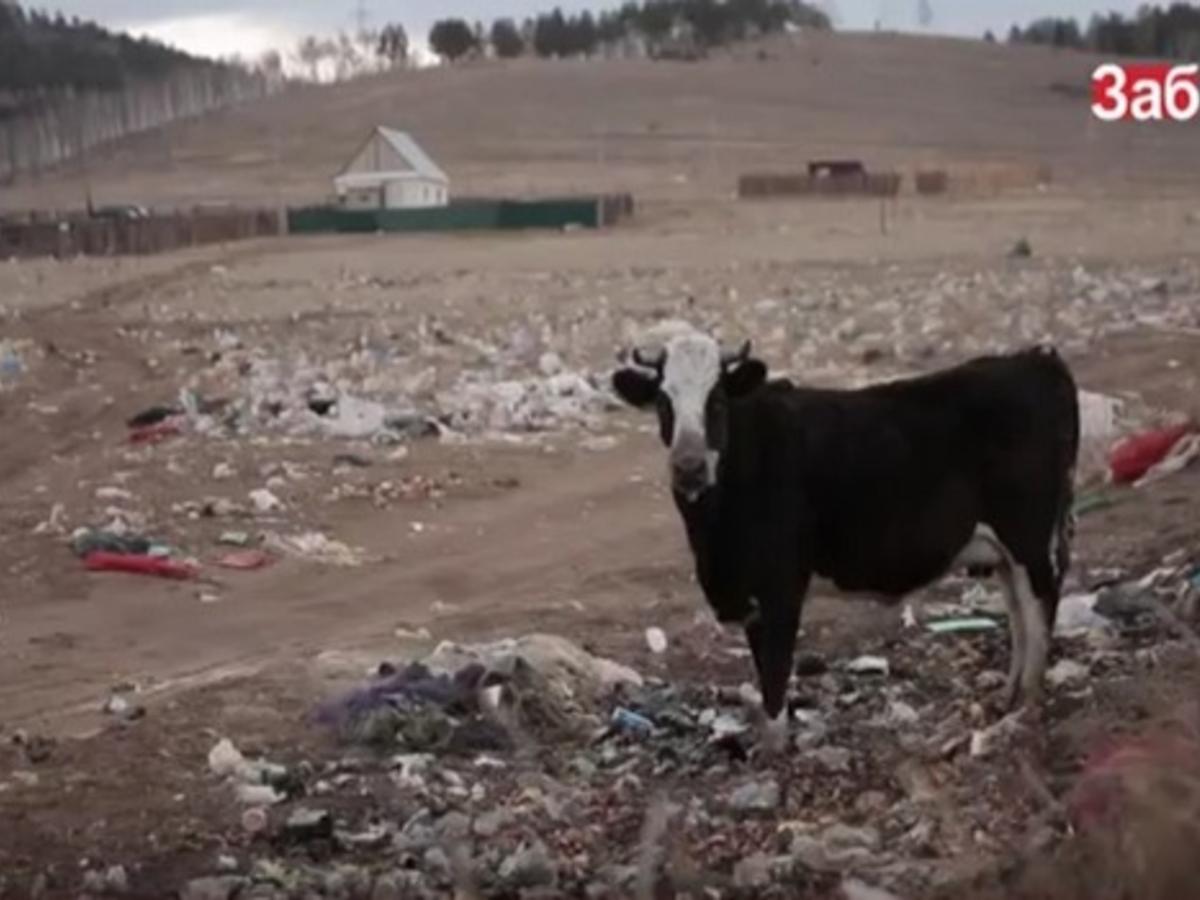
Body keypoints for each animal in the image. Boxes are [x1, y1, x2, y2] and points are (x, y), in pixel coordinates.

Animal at [614, 331, 1084, 753]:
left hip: (1030, 538)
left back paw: (1027, 705)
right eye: (663, 402)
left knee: (1039, 612)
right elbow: (763, 666)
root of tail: (1037, 359)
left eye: (716, 401)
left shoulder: (782, 586)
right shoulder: (750, 597)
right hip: (1006, 553)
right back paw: (1009, 697)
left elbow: (775, 673)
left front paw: (776, 751)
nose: (689, 467)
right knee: (1019, 614)